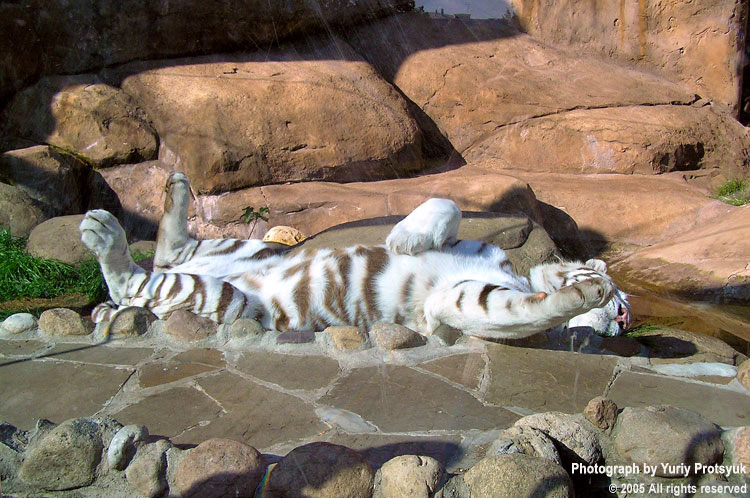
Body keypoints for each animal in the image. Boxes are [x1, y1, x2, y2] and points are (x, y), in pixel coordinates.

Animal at [79, 173, 631, 340]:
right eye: (624, 305)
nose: (623, 319)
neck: (520, 275)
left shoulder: (461, 302)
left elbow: (528, 310)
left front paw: (583, 293)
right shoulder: (476, 248)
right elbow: (446, 204)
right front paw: (406, 238)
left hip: (225, 298)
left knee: (134, 280)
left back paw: (103, 232)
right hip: (244, 245)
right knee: (170, 251)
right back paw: (163, 192)